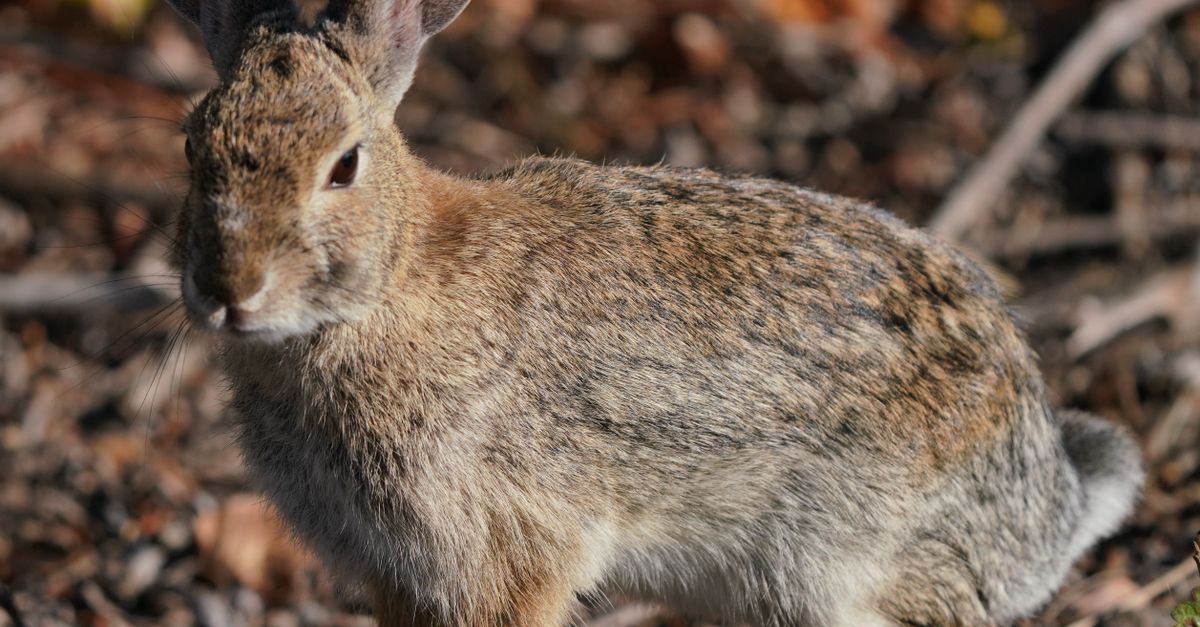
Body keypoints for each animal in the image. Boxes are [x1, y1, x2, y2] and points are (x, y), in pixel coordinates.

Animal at [163, 0, 1144, 625]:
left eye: (344, 166)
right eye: (191, 144)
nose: (231, 289)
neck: (388, 286)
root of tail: (1051, 502)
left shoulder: (508, 552)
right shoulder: (398, 575)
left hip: (844, 575)